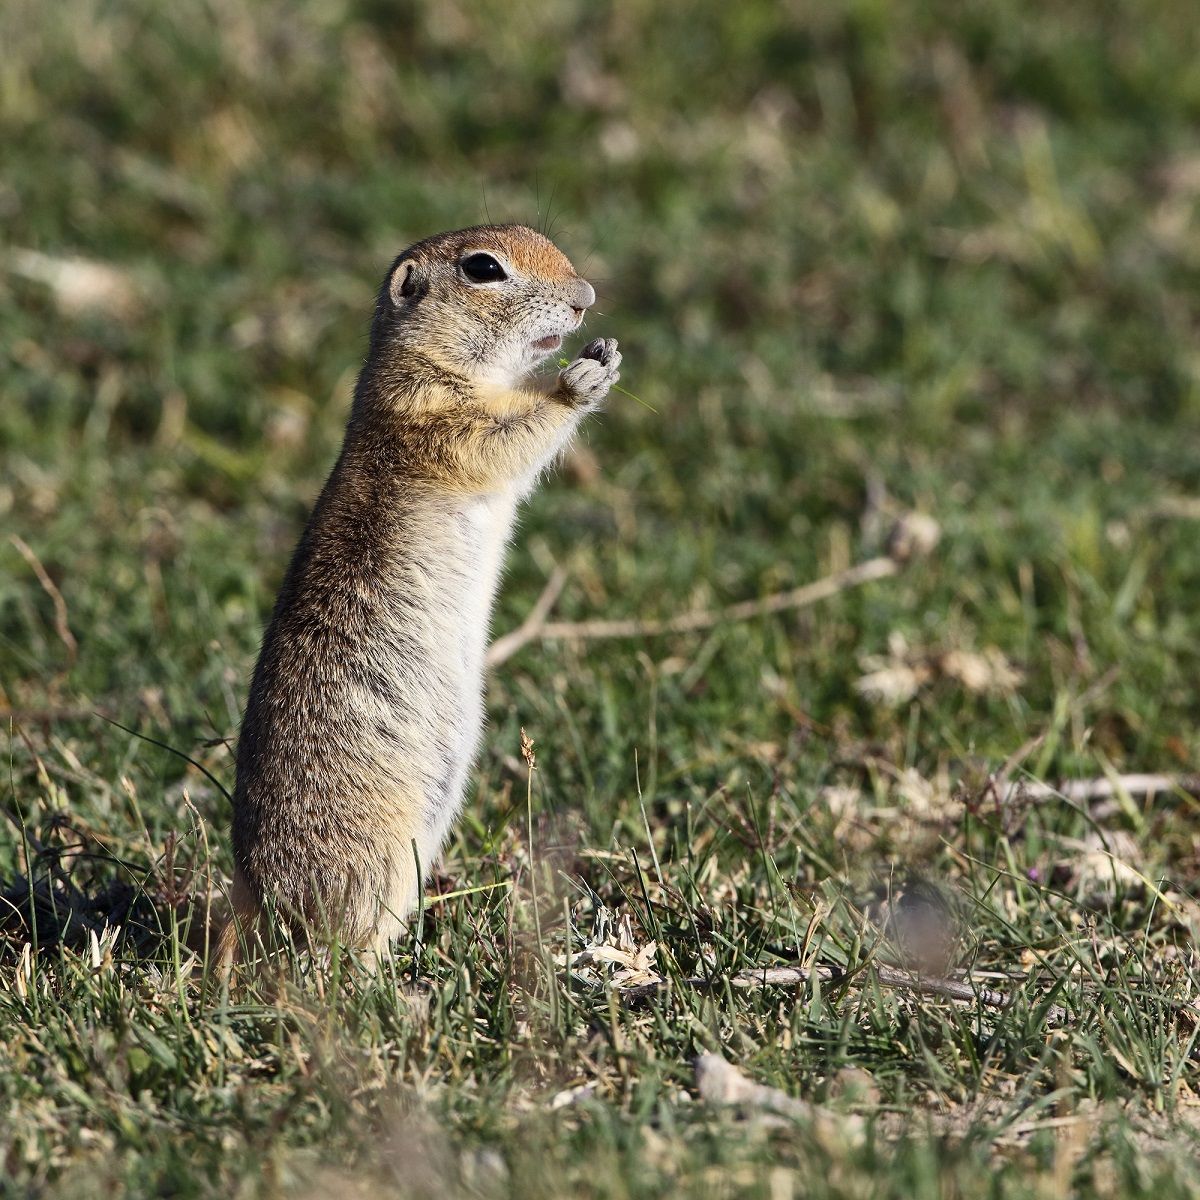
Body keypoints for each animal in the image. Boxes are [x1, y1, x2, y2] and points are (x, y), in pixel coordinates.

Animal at [217, 224, 620, 968]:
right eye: (484, 269)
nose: (586, 297)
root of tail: (250, 892)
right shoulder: (431, 418)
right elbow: (506, 438)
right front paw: (578, 384)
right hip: (376, 853)